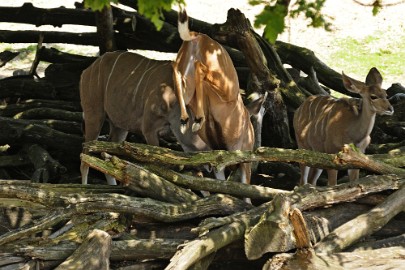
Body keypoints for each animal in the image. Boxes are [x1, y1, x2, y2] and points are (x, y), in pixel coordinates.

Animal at [81, 51, 210, 185]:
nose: (211, 167)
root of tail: (86, 71)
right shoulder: (149, 129)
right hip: (94, 114)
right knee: (85, 158)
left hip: (119, 126)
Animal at [170, 8, 262, 186]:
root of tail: (198, 36)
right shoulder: (243, 162)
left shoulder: (218, 163)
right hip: (222, 85)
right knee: (200, 69)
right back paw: (197, 120)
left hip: (187, 76)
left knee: (177, 69)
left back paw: (187, 121)